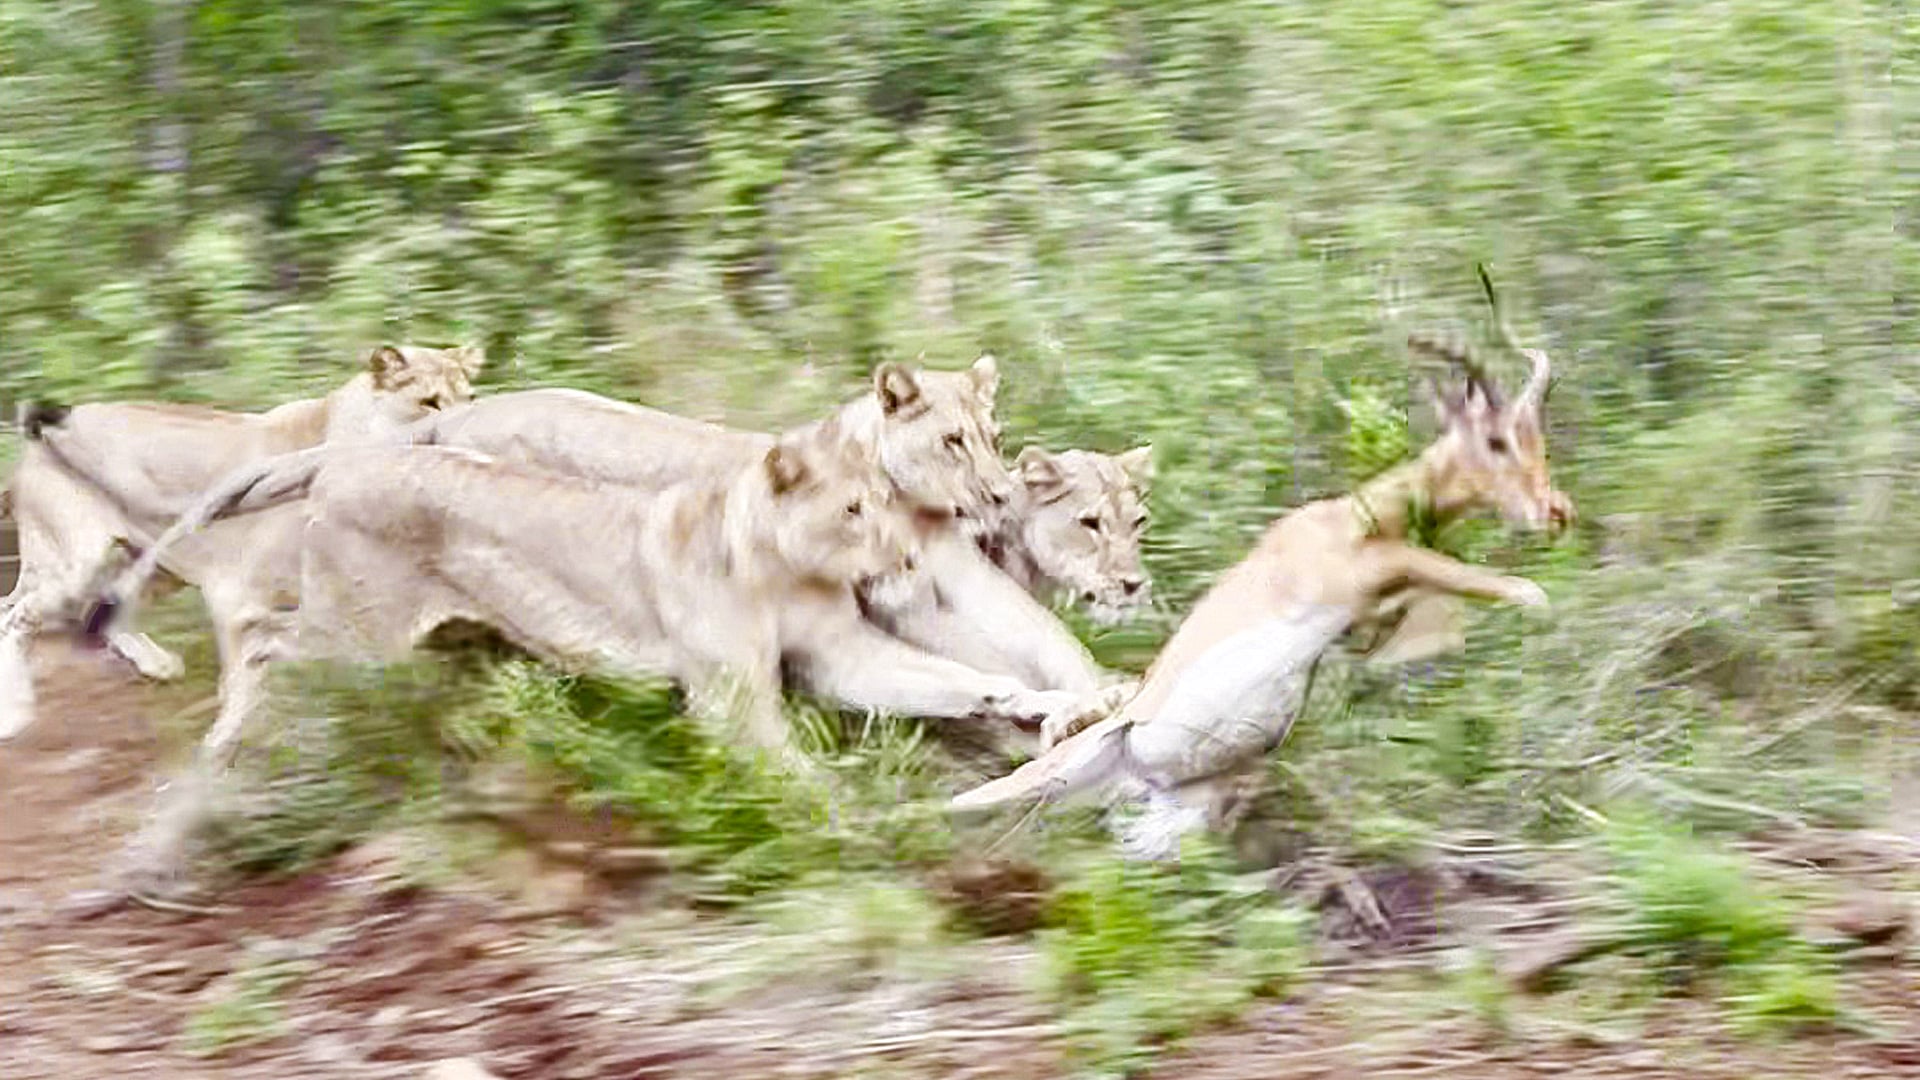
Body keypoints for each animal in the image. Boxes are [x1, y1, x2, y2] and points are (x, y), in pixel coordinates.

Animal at [0, 344, 484, 740]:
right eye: (428, 403)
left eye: (470, 399)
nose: (465, 428)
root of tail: (34, 447)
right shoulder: (234, 589)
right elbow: (242, 682)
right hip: (77, 560)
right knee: (15, 616)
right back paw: (15, 715)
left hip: (155, 566)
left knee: (103, 618)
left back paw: (161, 667)